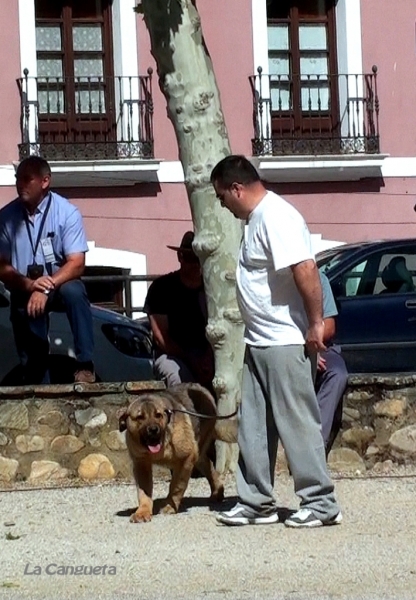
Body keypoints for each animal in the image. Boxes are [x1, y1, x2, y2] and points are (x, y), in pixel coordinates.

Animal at [117, 384, 237, 520]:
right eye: (140, 417)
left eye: (158, 415)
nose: (153, 430)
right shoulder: (141, 464)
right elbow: (144, 492)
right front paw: (143, 511)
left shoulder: (186, 458)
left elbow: (176, 486)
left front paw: (170, 506)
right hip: (198, 454)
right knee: (209, 466)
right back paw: (217, 491)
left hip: (196, 449)